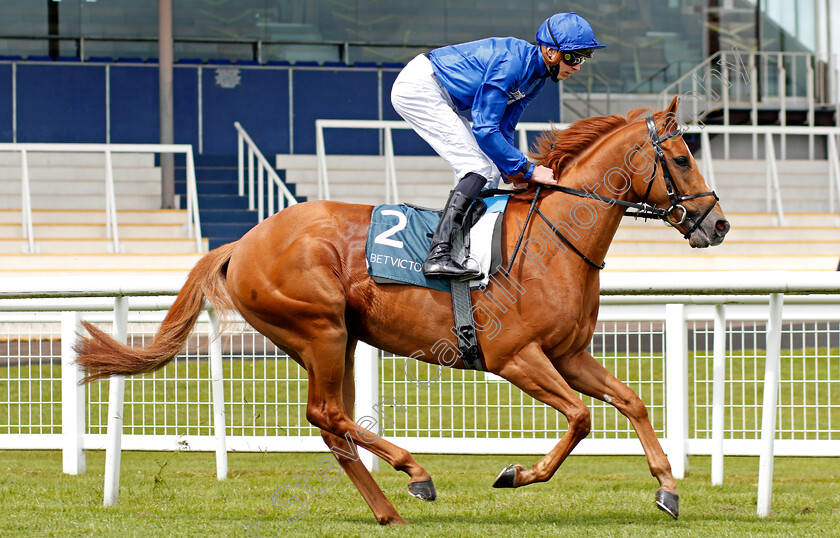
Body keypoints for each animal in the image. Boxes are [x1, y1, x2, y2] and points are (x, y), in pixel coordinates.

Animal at [72, 95, 728, 520]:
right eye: (682, 158)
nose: (718, 224)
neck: (552, 240)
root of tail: (242, 242)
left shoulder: (568, 355)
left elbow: (631, 402)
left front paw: (667, 487)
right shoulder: (515, 357)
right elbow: (582, 417)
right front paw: (517, 473)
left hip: (338, 340)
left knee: (333, 425)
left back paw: (389, 509)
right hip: (320, 330)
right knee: (325, 415)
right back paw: (415, 473)